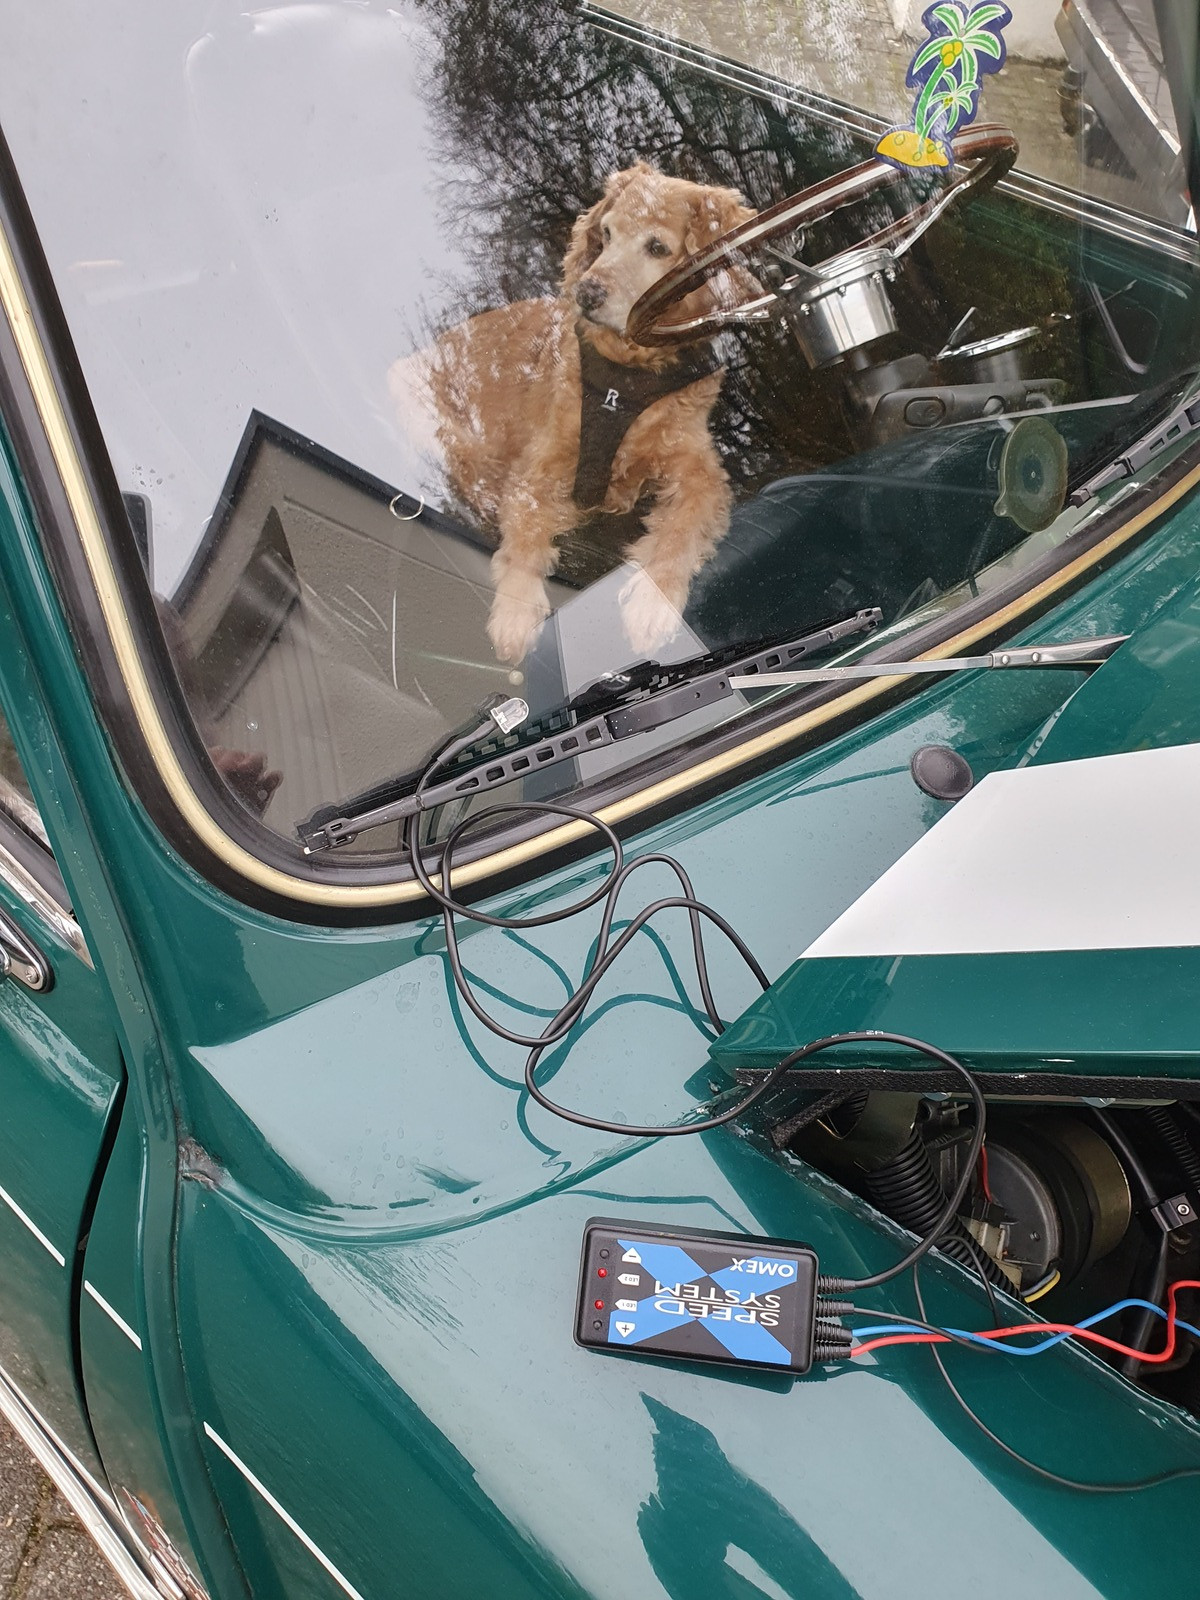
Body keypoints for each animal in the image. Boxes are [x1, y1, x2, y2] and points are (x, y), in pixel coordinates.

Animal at [390, 163, 755, 663]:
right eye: (608, 232)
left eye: (658, 248)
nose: (587, 291)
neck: (626, 375)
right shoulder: (540, 466)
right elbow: (526, 535)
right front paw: (515, 615)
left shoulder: (699, 470)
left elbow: (681, 529)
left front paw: (651, 604)